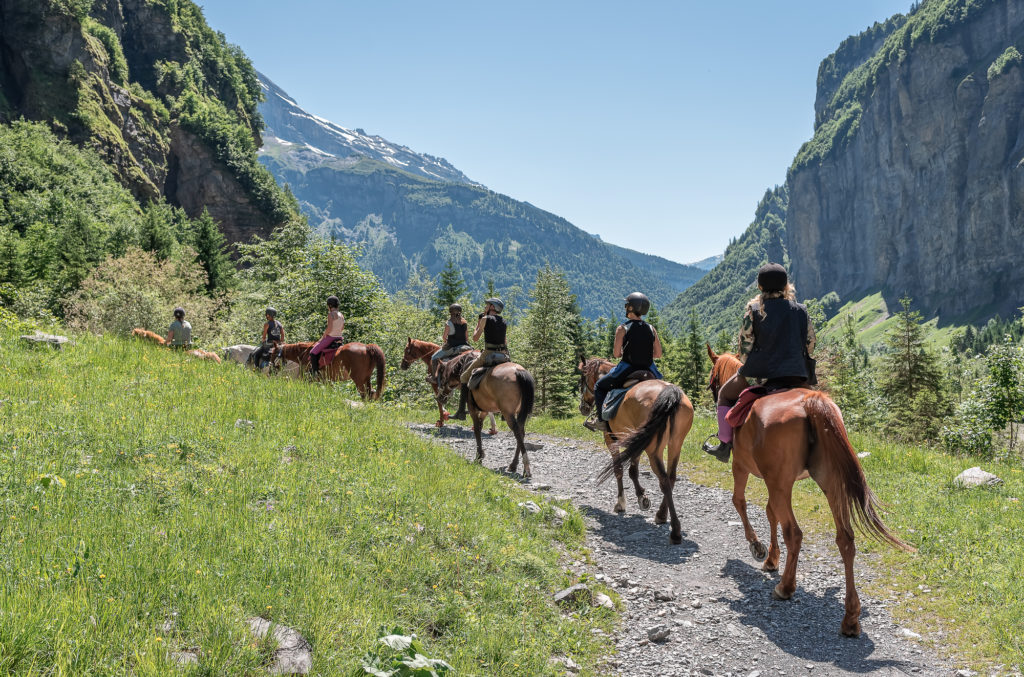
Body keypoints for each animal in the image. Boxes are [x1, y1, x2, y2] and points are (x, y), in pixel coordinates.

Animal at [581, 358, 700, 544]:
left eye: (582, 379)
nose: (583, 407)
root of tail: (671, 394)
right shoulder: (637, 441)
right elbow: (633, 470)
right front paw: (642, 497)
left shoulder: (611, 439)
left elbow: (619, 469)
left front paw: (621, 504)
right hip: (675, 444)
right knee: (671, 477)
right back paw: (661, 515)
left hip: (654, 449)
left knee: (664, 481)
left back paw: (675, 531)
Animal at [704, 346, 913, 635]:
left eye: (713, 377)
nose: (714, 391)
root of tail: (812, 401)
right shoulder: (778, 483)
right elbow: (770, 513)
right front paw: (771, 559)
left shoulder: (742, 467)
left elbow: (740, 502)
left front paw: (758, 548)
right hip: (830, 483)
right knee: (845, 540)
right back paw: (850, 618)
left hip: (782, 482)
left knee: (794, 533)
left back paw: (785, 587)